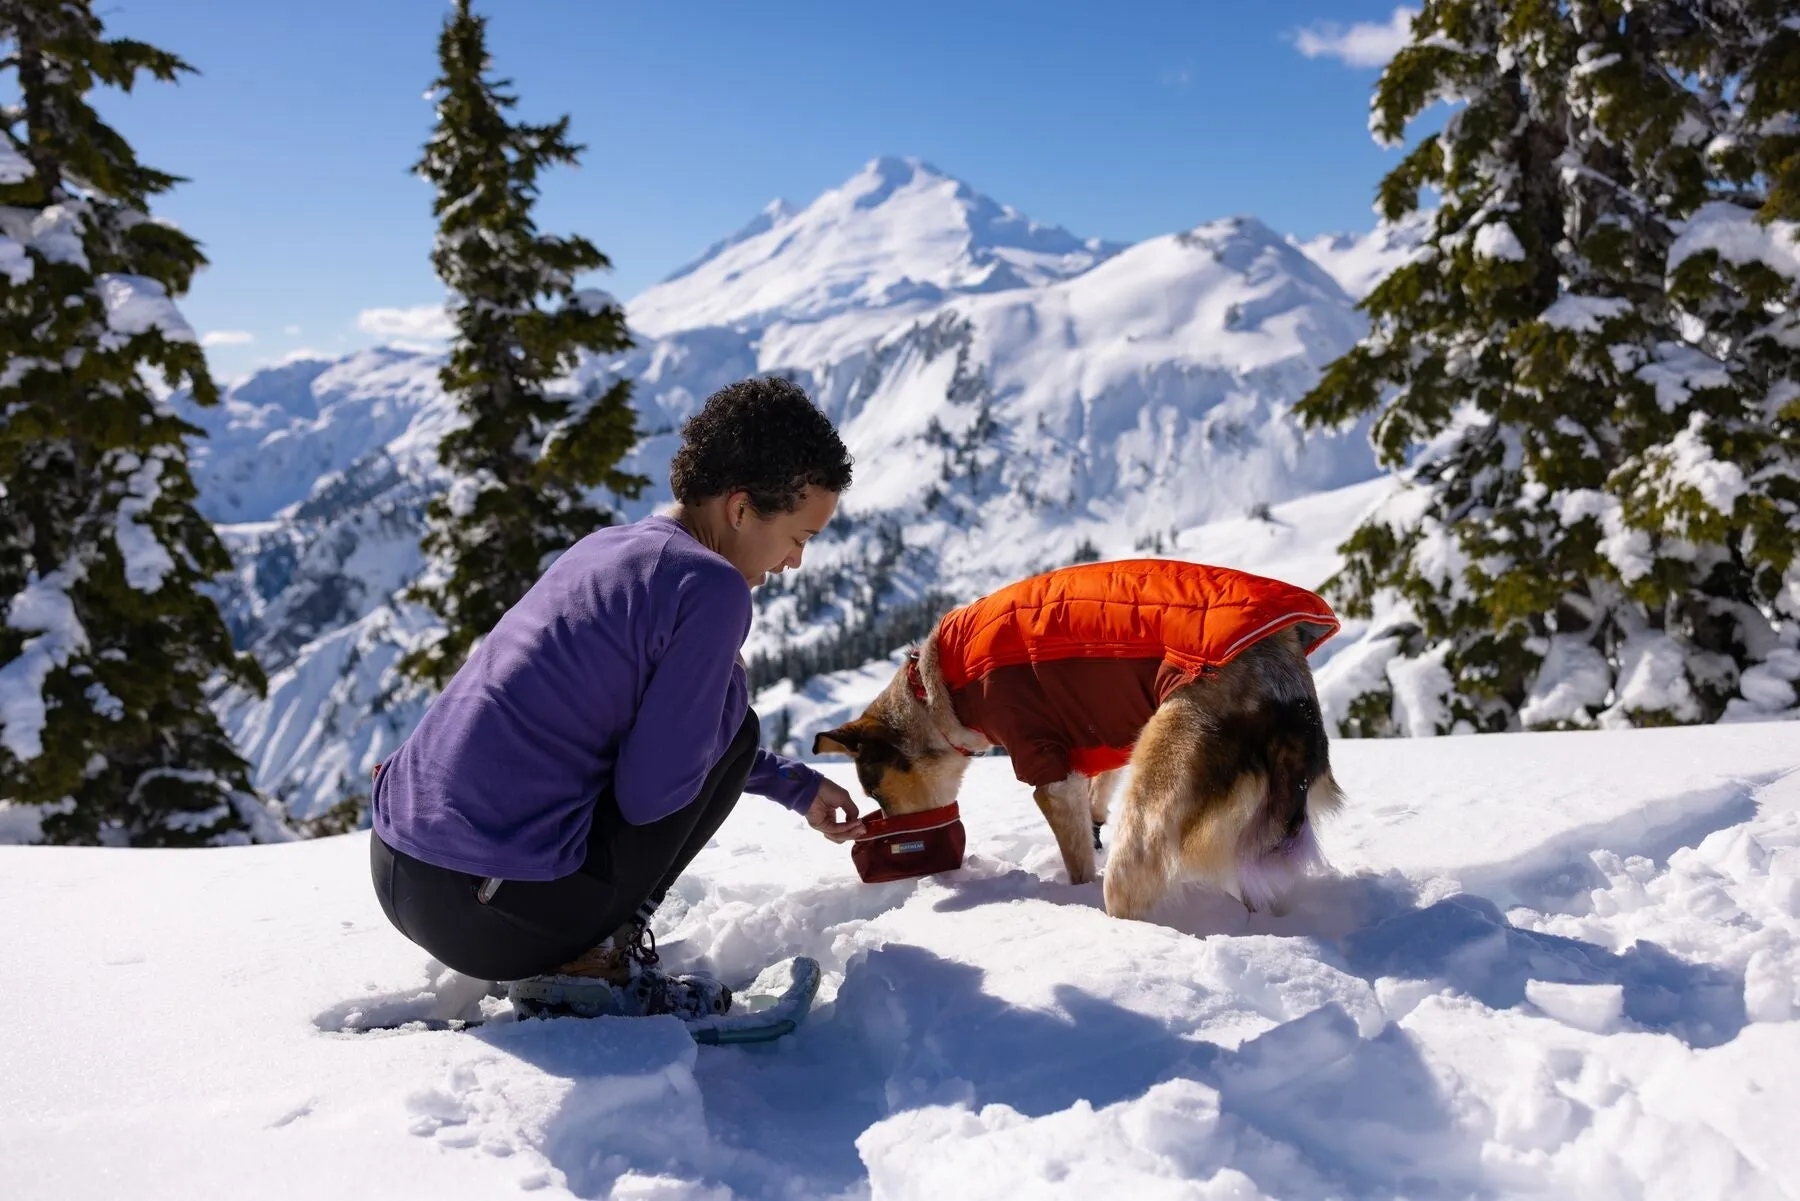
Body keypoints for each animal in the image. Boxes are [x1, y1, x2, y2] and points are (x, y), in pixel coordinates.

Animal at [810, 558, 1346, 921]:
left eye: (875, 792)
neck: (935, 687)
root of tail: (1284, 695)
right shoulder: (1096, 752)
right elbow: (1092, 803)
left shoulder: (1043, 765)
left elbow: (1076, 858)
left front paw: (1072, 893)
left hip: (1150, 814)